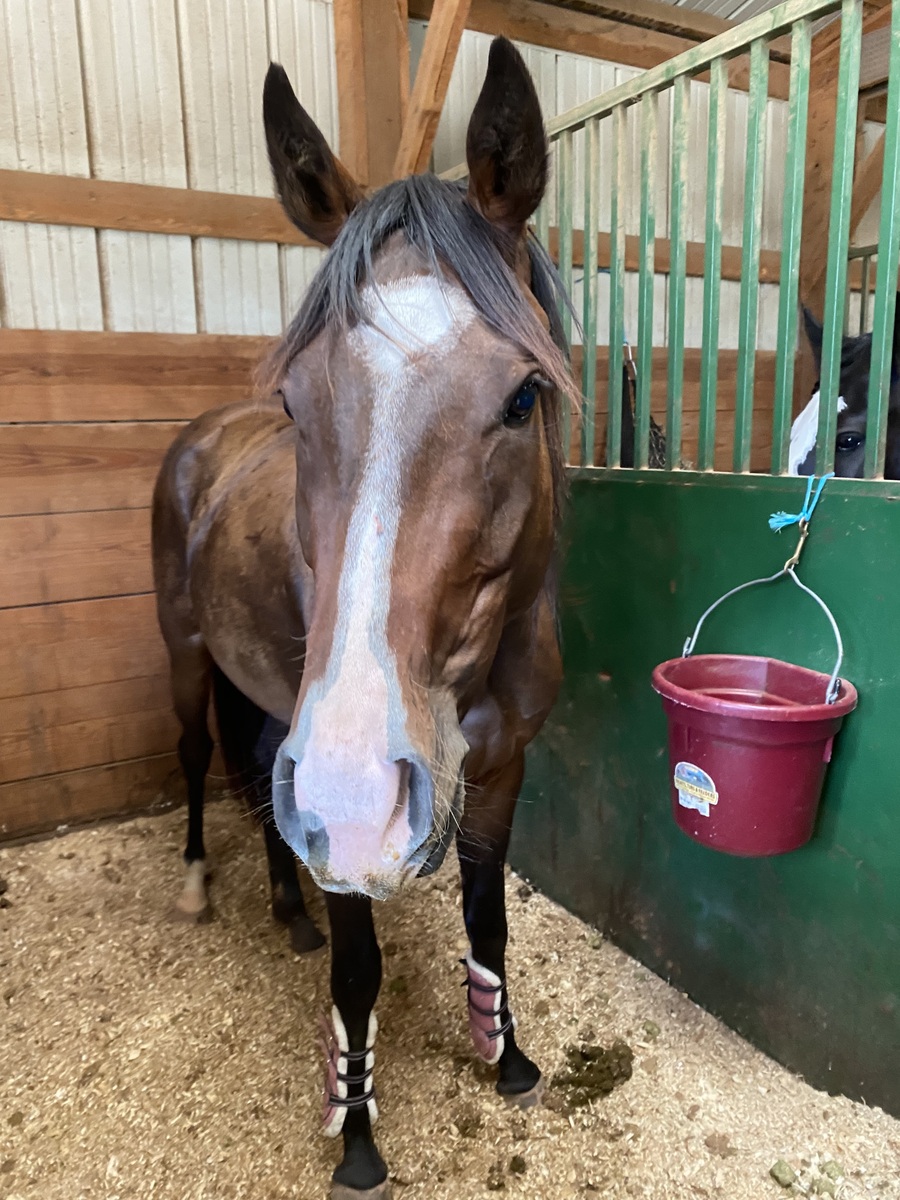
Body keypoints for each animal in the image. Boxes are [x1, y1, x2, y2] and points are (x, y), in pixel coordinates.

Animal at [152, 38, 574, 1200]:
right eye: (298, 403)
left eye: (524, 396)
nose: (354, 792)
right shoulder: (345, 819)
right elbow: (359, 971)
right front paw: (355, 1135)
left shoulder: (504, 768)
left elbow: (489, 923)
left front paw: (508, 1056)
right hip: (190, 660)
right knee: (201, 759)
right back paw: (203, 888)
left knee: (260, 773)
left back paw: (285, 909)